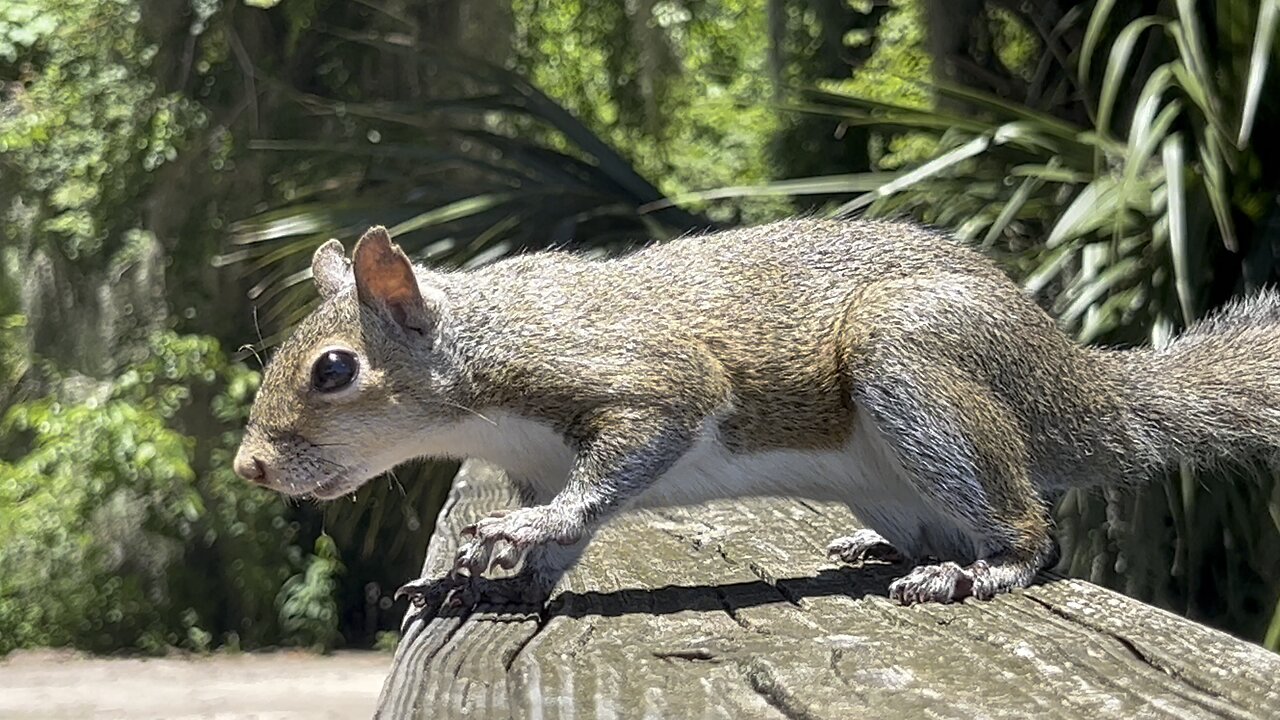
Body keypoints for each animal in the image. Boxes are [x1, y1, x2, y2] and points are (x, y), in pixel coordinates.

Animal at [235, 219, 1274, 604]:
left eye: (333, 369)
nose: (250, 467)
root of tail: (1073, 382)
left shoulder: (645, 382)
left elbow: (603, 481)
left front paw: (518, 536)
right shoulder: (540, 456)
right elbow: (570, 535)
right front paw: (493, 581)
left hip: (918, 368)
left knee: (1029, 529)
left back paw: (983, 569)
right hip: (890, 474)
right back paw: (890, 551)